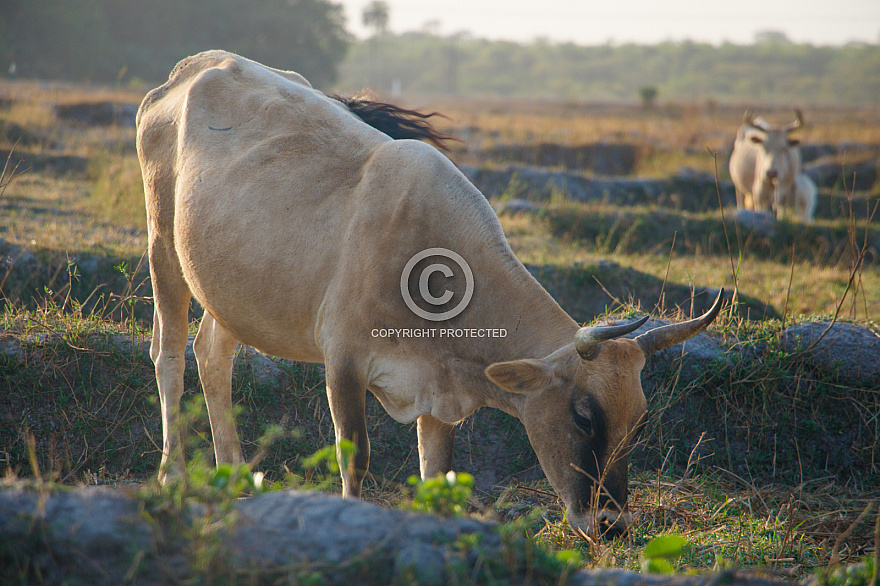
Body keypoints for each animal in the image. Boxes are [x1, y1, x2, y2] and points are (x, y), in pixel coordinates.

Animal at [134, 52, 720, 536]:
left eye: (638, 421)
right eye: (582, 416)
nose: (611, 525)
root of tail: (194, 67)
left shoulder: (437, 396)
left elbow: (436, 475)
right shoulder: (343, 363)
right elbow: (355, 458)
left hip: (225, 289)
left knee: (214, 355)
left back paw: (232, 476)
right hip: (164, 248)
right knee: (169, 355)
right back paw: (172, 475)